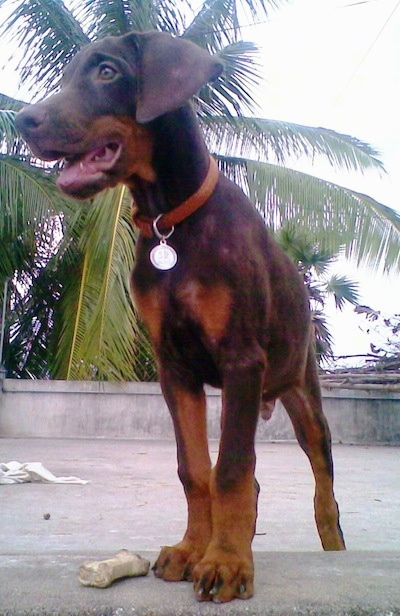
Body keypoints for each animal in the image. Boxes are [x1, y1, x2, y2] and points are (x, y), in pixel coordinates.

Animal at [15, 31, 346, 604]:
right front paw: (196, 550)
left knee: (322, 483)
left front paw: (228, 563)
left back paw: (330, 546)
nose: (22, 121)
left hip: (301, 392)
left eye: (107, 71)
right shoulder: (176, 369)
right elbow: (195, 470)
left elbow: (230, 469)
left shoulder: (240, 360)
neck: (172, 222)